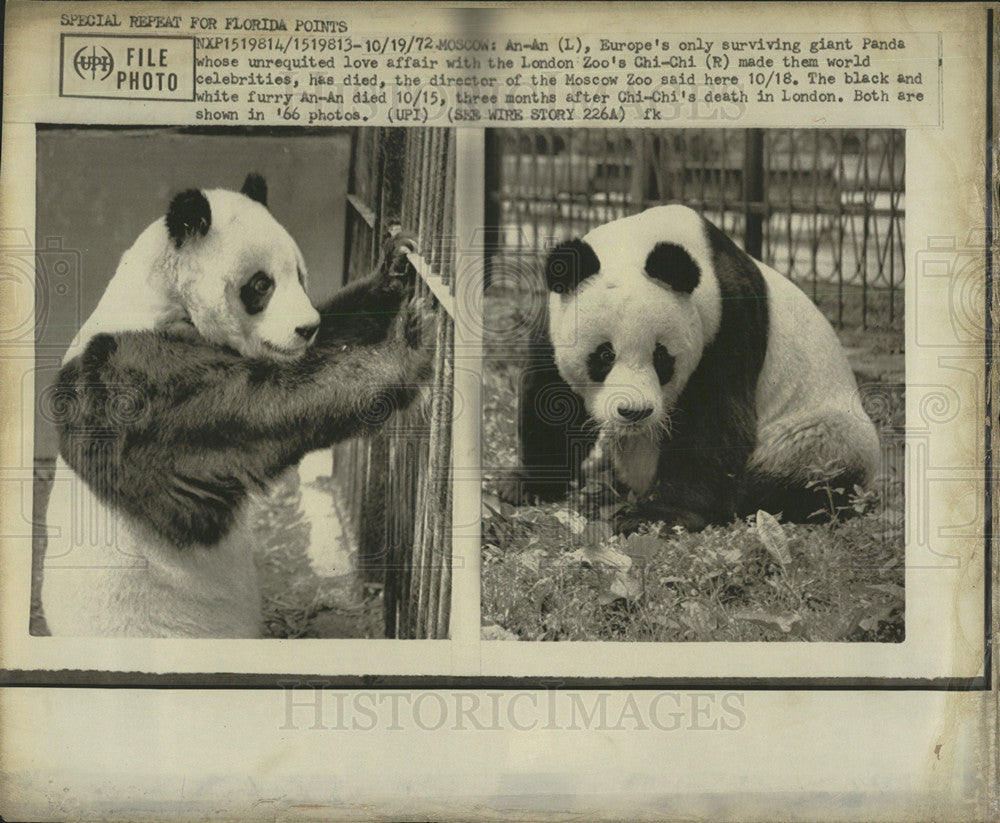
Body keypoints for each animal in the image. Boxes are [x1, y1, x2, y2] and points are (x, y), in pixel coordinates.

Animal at [42, 172, 430, 636]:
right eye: (261, 284)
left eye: (300, 275)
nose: (306, 328)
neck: (164, 296)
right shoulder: (143, 389)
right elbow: (263, 410)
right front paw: (408, 345)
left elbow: (331, 339)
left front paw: (396, 267)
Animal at [512, 206, 880, 536]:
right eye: (604, 355)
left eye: (661, 357)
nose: (634, 412)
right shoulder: (554, 320)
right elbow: (549, 397)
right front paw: (528, 485)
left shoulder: (728, 322)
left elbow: (712, 421)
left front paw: (657, 517)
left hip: (815, 434)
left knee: (812, 471)